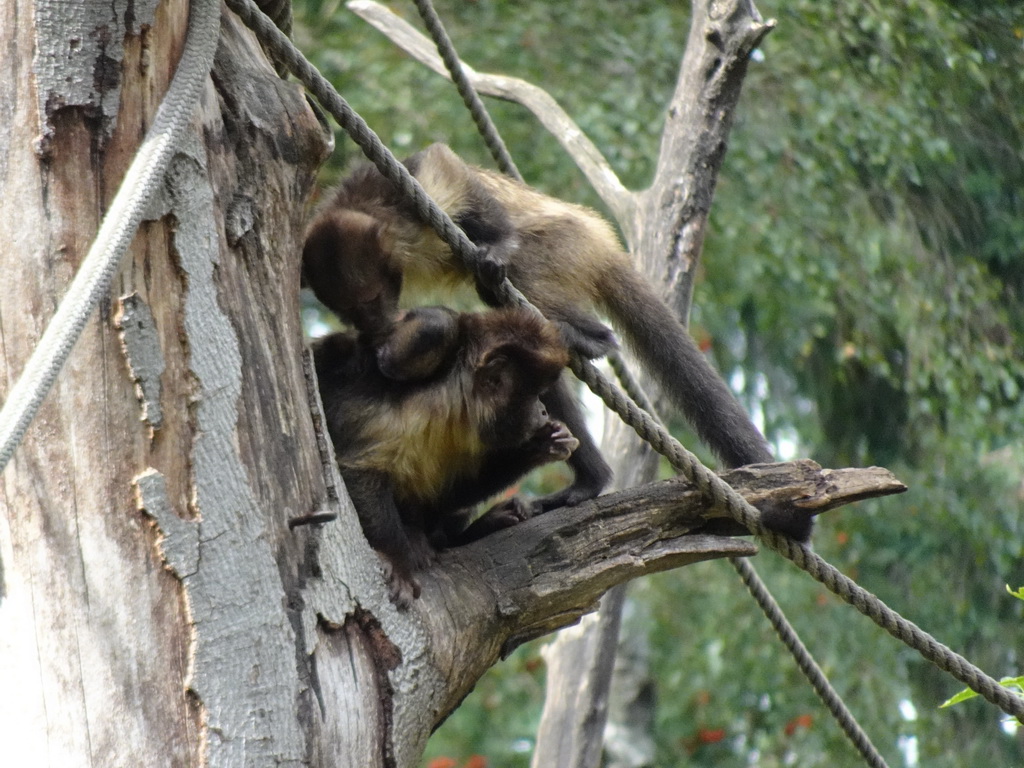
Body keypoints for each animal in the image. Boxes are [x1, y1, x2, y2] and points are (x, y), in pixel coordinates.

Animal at [299, 144, 811, 540]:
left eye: (375, 298)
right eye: (352, 312)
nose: (375, 324)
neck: (365, 207)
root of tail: (597, 236)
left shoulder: (399, 193)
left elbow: (443, 164)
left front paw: (496, 245)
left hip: (557, 245)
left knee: (520, 285)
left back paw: (584, 343)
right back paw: (590, 475)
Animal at [311, 303, 581, 610]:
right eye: (534, 394)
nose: (543, 410)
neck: (447, 407)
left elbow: (446, 494)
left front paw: (543, 445)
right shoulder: (398, 416)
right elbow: (358, 473)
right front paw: (397, 559)